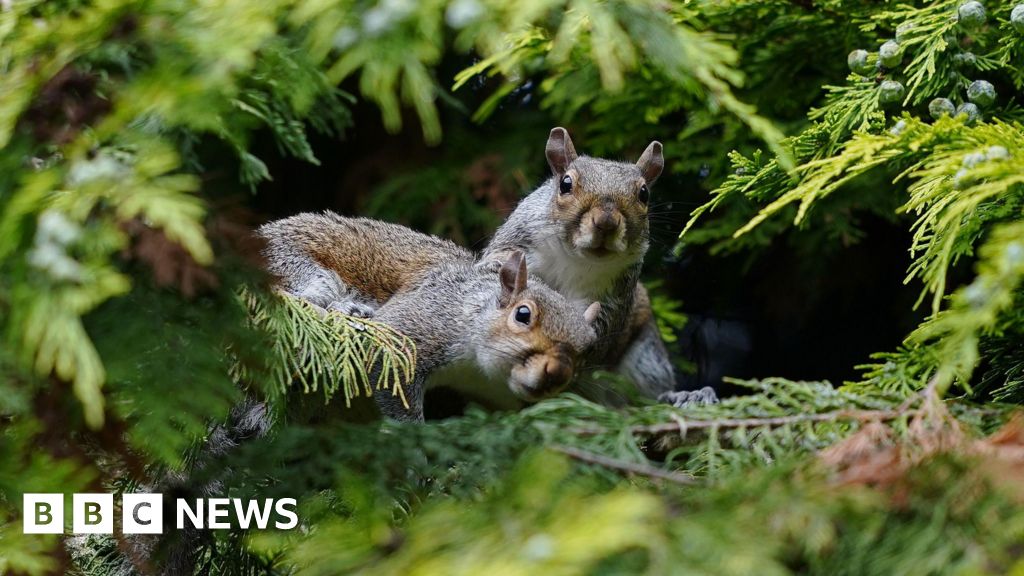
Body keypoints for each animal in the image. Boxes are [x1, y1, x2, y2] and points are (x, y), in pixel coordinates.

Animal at [256, 213, 602, 420]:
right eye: (523, 314)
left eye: (589, 348)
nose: (556, 373)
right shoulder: (420, 325)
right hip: (291, 263)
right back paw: (348, 310)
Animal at [481, 127, 716, 405]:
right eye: (565, 184)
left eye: (644, 194)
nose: (606, 222)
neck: (574, 258)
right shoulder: (517, 241)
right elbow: (496, 267)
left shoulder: (614, 293)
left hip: (645, 360)